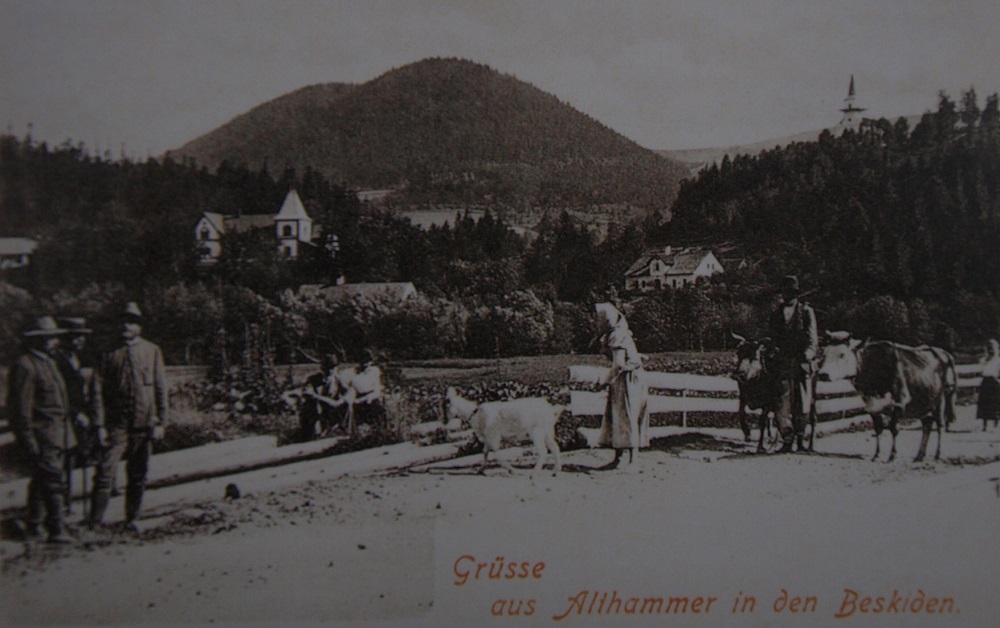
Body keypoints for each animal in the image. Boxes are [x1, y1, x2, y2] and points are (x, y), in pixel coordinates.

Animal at [817, 331, 957, 462]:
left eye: (842, 354)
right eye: (824, 354)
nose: (823, 374)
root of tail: (945, 354)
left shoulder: (900, 401)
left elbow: (894, 429)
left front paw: (892, 455)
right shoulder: (872, 405)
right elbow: (878, 428)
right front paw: (877, 454)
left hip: (942, 398)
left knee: (940, 425)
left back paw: (937, 455)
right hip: (924, 402)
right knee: (927, 425)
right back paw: (919, 456)